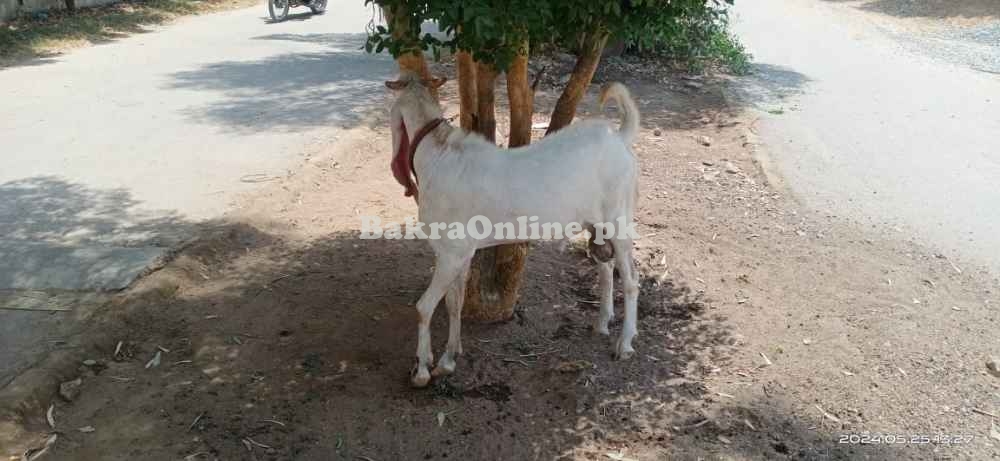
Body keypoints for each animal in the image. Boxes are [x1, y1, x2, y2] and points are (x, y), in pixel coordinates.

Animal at [382, 73, 640, 386]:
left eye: (393, 113)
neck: (439, 155)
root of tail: (620, 138)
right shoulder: (458, 253)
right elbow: (454, 303)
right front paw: (448, 359)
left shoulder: (451, 254)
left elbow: (424, 307)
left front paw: (421, 369)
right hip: (596, 223)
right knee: (606, 267)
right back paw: (602, 323)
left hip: (619, 218)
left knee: (631, 280)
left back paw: (624, 344)